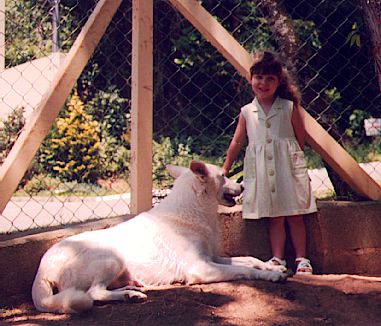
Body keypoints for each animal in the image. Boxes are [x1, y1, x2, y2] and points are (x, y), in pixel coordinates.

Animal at [31, 160, 284, 314]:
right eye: (223, 176)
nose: (242, 186)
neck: (192, 211)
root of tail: (42, 270)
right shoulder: (201, 268)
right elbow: (244, 269)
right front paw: (271, 276)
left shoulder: (213, 258)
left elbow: (249, 259)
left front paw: (273, 266)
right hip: (112, 258)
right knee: (93, 294)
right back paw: (129, 295)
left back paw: (131, 289)